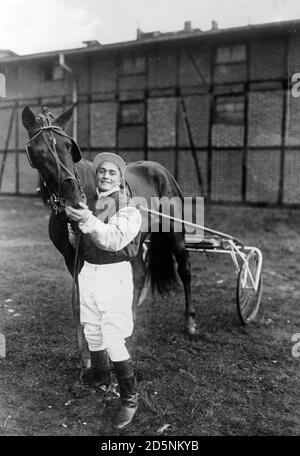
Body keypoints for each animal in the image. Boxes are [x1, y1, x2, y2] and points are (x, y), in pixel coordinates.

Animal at [22, 104, 198, 346]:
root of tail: (160, 170)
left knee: (185, 270)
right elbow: (80, 300)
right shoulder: (70, 256)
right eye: (38, 151)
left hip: (175, 232)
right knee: (139, 273)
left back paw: (190, 322)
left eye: (68, 145)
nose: (73, 196)